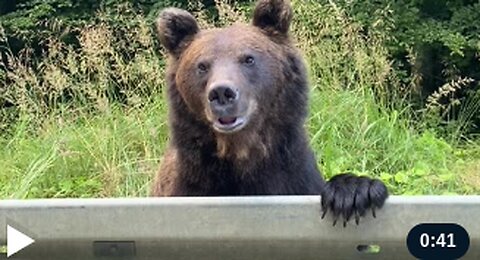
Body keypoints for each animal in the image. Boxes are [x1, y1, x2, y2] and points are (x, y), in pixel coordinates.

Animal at [152, 0, 388, 225]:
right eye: (202, 66)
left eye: (248, 59)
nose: (221, 93)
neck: (242, 153)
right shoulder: (190, 183)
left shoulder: (293, 174)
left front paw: (354, 192)